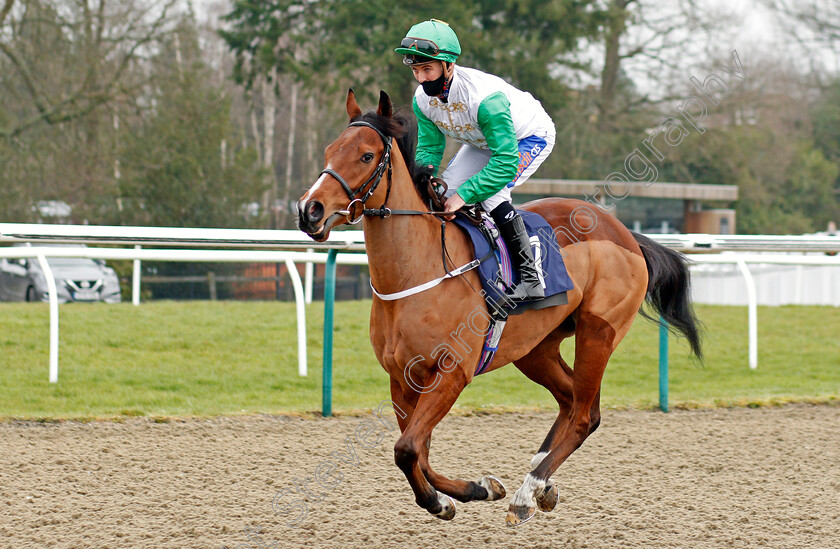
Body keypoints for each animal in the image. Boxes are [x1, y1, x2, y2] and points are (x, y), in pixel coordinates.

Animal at [296, 91, 704, 528]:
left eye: (367, 155)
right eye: (329, 150)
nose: (310, 210)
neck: (416, 273)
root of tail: (626, 234)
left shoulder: (452, 373)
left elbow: (407, 449)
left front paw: (451, 498)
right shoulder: (401, 379)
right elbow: (417, 451)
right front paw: (470, 491)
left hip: (599, 332)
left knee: (584, 415)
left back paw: (528, 493)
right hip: (535, 347)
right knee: (570, 399)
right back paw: (542, 482)